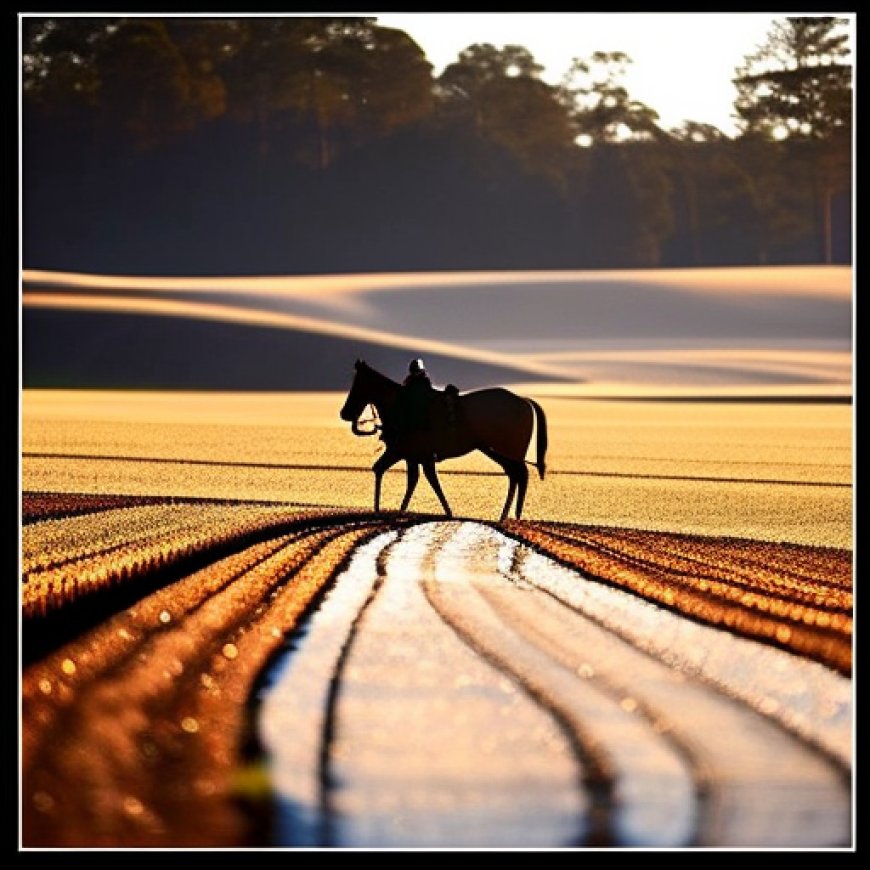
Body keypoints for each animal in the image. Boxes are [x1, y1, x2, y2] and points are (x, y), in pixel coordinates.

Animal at [338, 360, 548, 520]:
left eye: (358, 384)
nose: (345, 413)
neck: (400, 405)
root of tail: (523, 400)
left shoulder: (405, 452)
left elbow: (402, 475)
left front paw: (381, 511)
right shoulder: (413, 456)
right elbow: (414, 478)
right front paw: (400, 510)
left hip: (505, 451)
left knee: (520, 475)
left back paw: (509, 516)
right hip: (494, 450)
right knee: (515, 475)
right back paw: (507, 515)